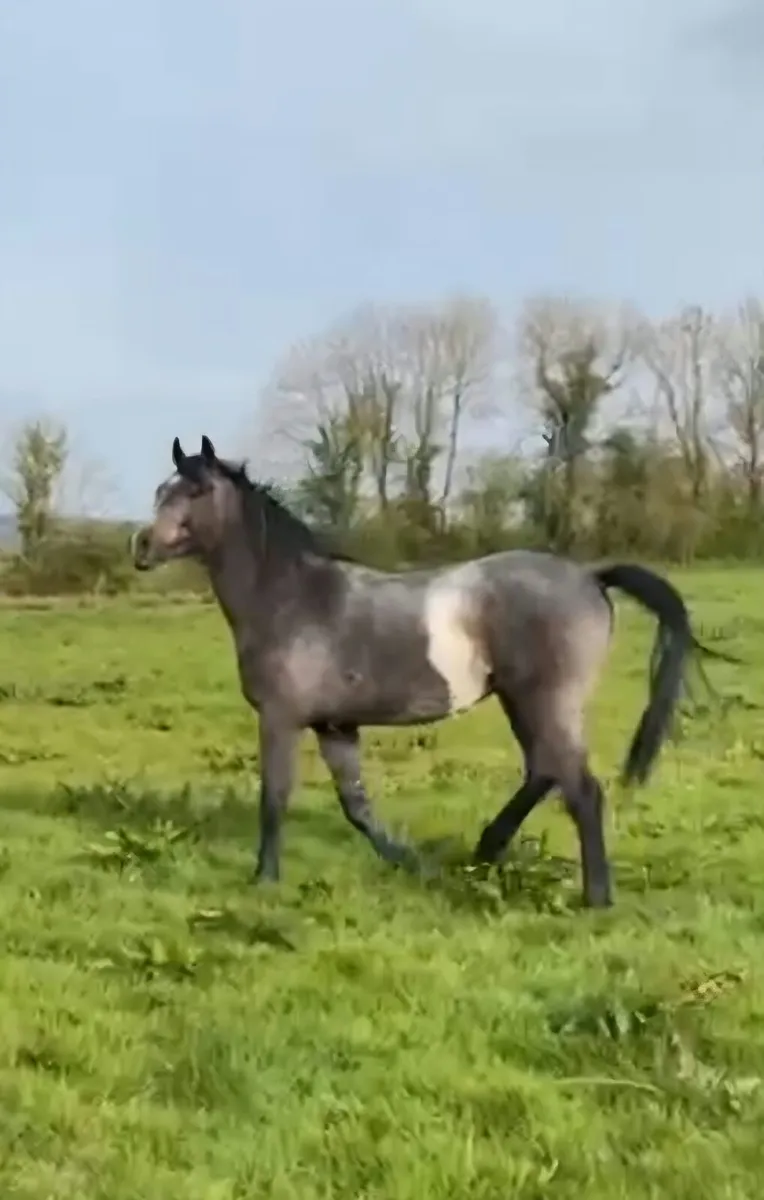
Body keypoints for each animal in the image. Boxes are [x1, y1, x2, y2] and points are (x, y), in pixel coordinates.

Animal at [131, 434, 707, 908]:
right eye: (161, 489)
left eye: (197, 490)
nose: (141, 547)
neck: (291, 599)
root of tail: (591, 577)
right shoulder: (334, 725)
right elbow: (357, 807)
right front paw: (414, 865)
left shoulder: (280, 718)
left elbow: (274, 798)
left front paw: (264, 879)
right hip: (522, 701)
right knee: (545, 769)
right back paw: (485, 851)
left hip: (545, 700)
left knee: (581, 789)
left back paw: (596, 898)